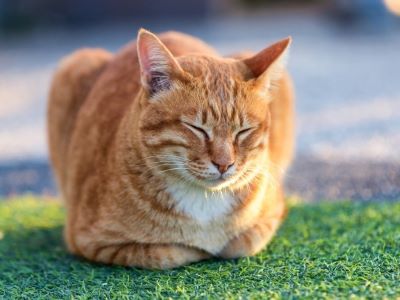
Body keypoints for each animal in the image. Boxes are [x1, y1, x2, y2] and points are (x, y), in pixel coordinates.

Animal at [48, 28, 296, 270]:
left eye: (243, 131)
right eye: (197, 128)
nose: (224, 164)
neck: (204, 200)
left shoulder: (272, 215)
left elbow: (243, 243)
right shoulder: (90, 241)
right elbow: (170, 253)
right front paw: (199, 248)